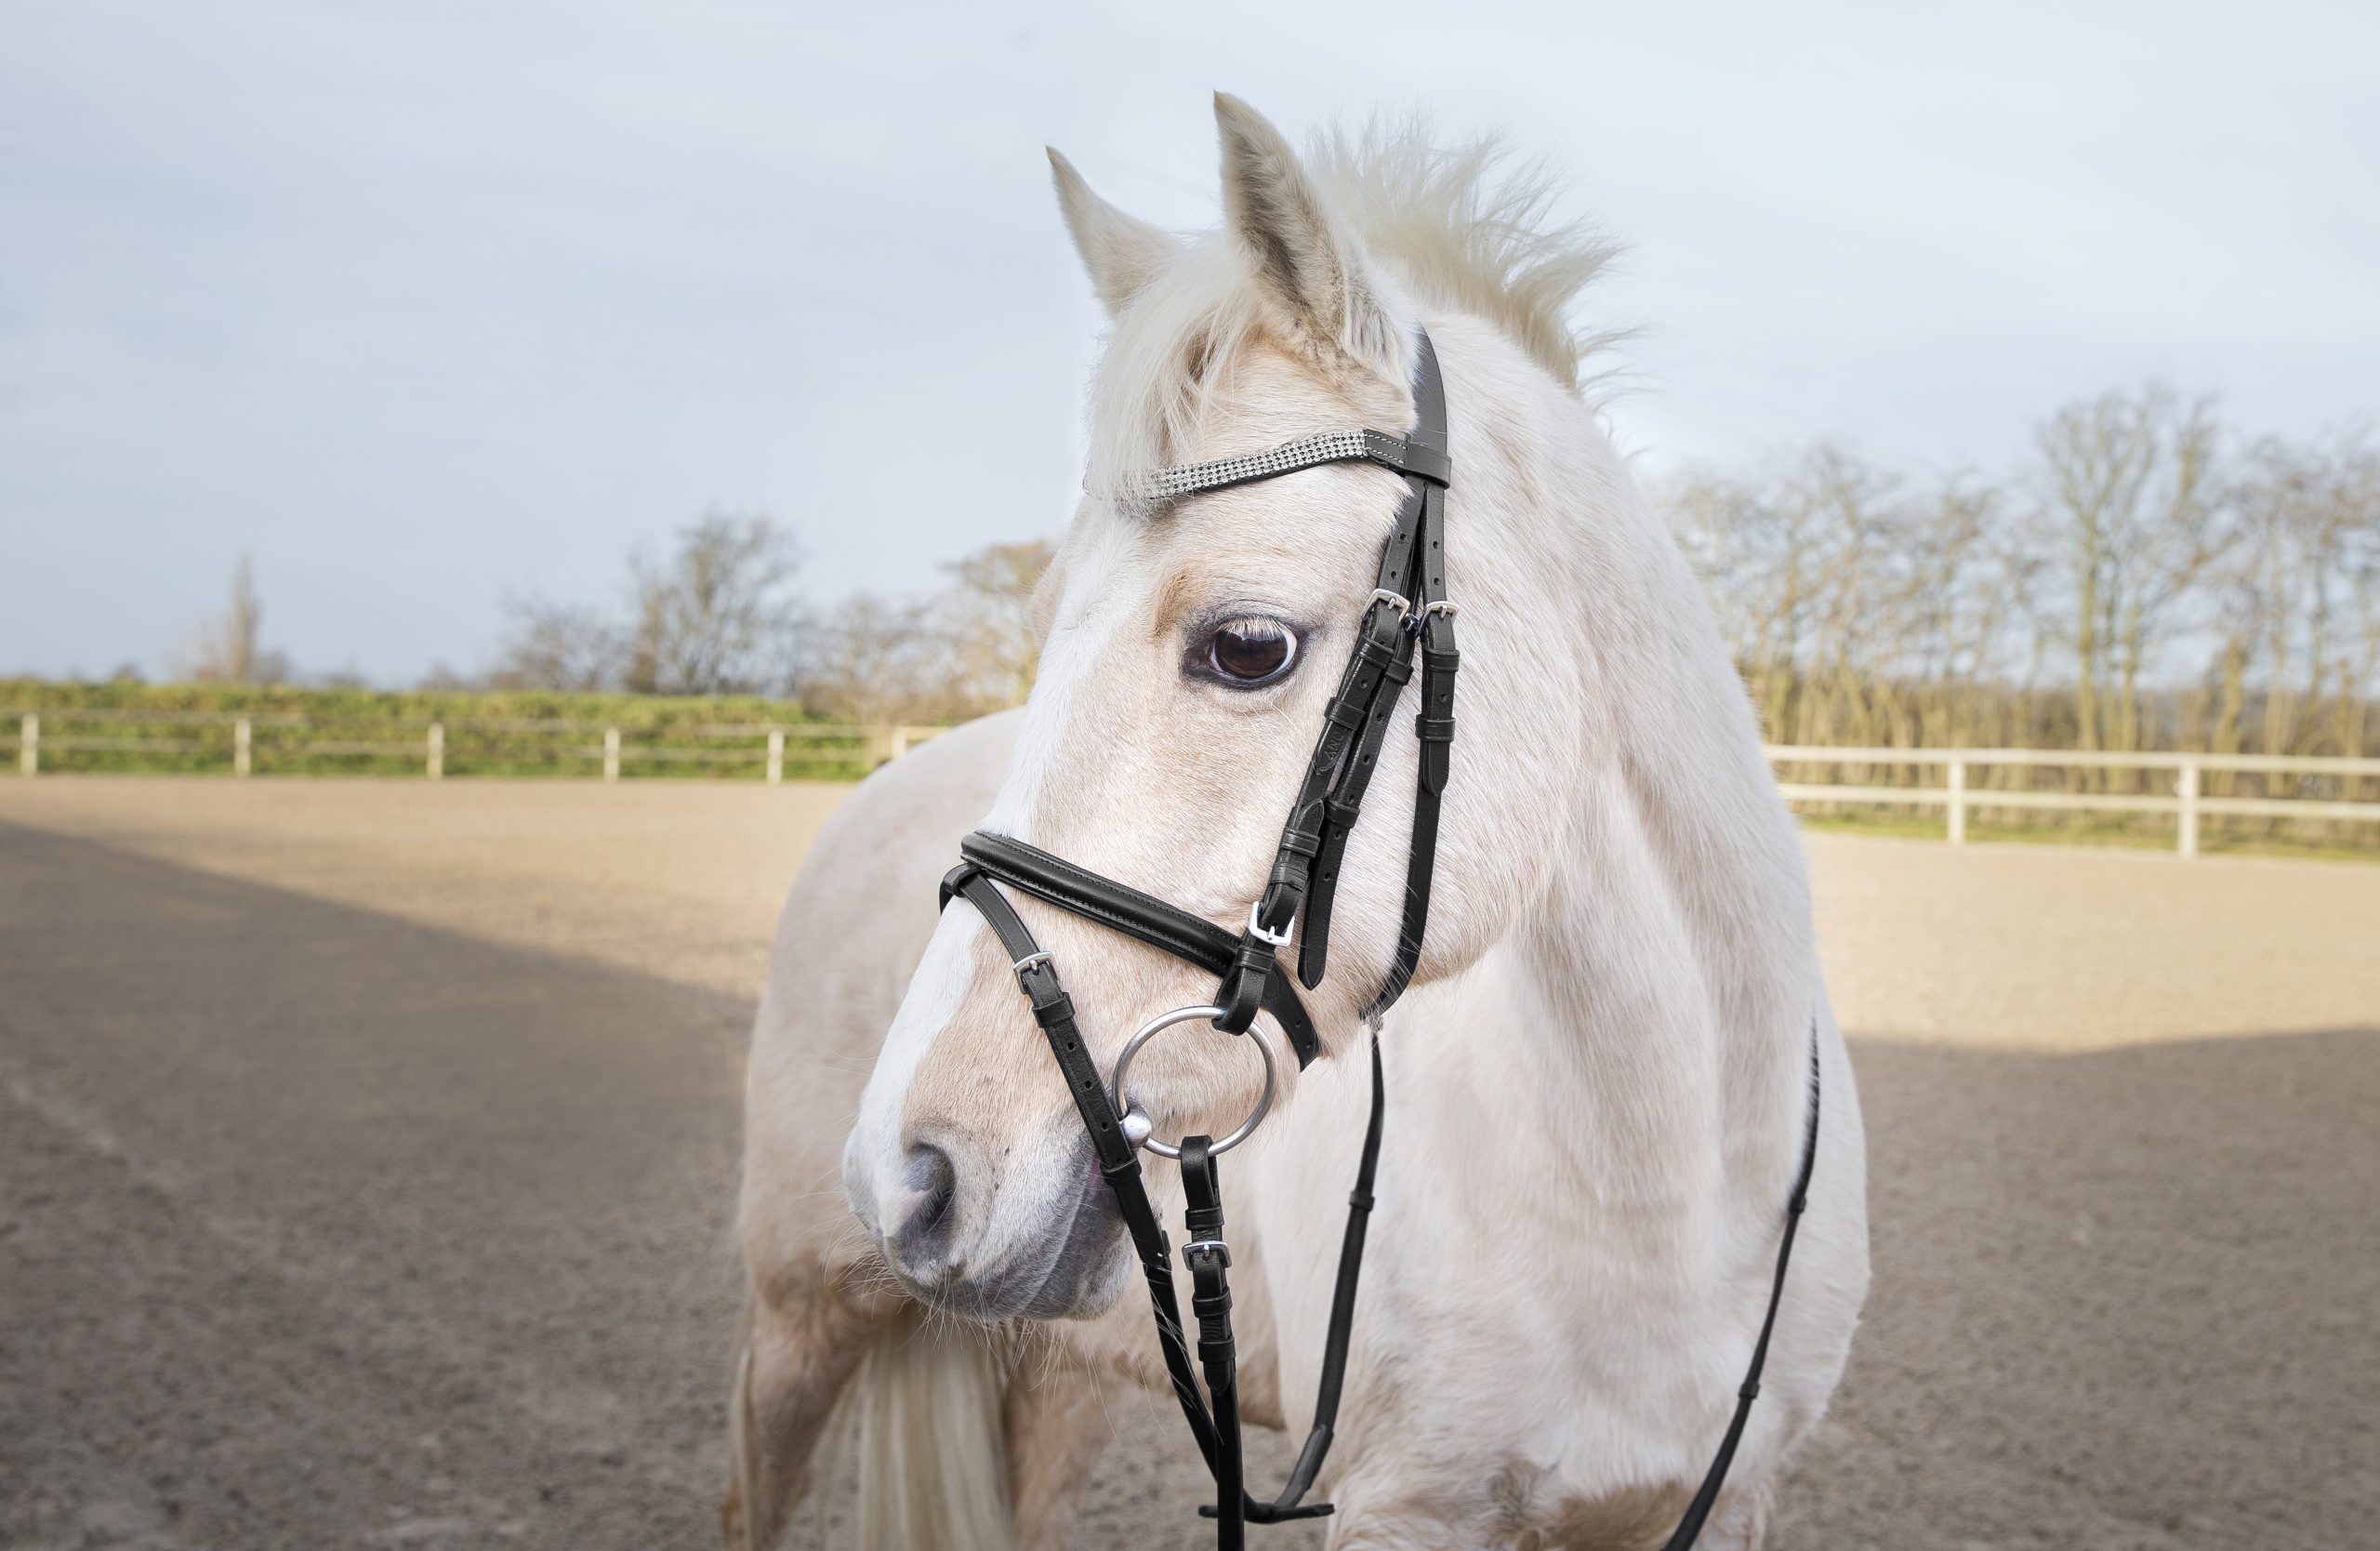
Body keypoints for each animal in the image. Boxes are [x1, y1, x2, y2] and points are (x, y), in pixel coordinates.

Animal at [723, 94, 1870, 1551]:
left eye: (1248, 646)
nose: (911, 1173)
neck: (1665, 1194)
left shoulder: (1723, 1507)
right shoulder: (1404, 1508)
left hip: (1063, 1373)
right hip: (797, 1325)